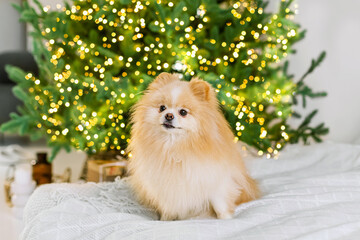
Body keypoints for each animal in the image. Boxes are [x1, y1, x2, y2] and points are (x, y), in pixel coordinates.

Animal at [127, 72, 258, 220]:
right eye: (162, 108)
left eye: (183, 112)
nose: (168, 115)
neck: (173, 147)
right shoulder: (165, 187)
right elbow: (167, 208)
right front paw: (164, 220)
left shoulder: (215, 180)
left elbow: (220, 204)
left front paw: (226, 219)